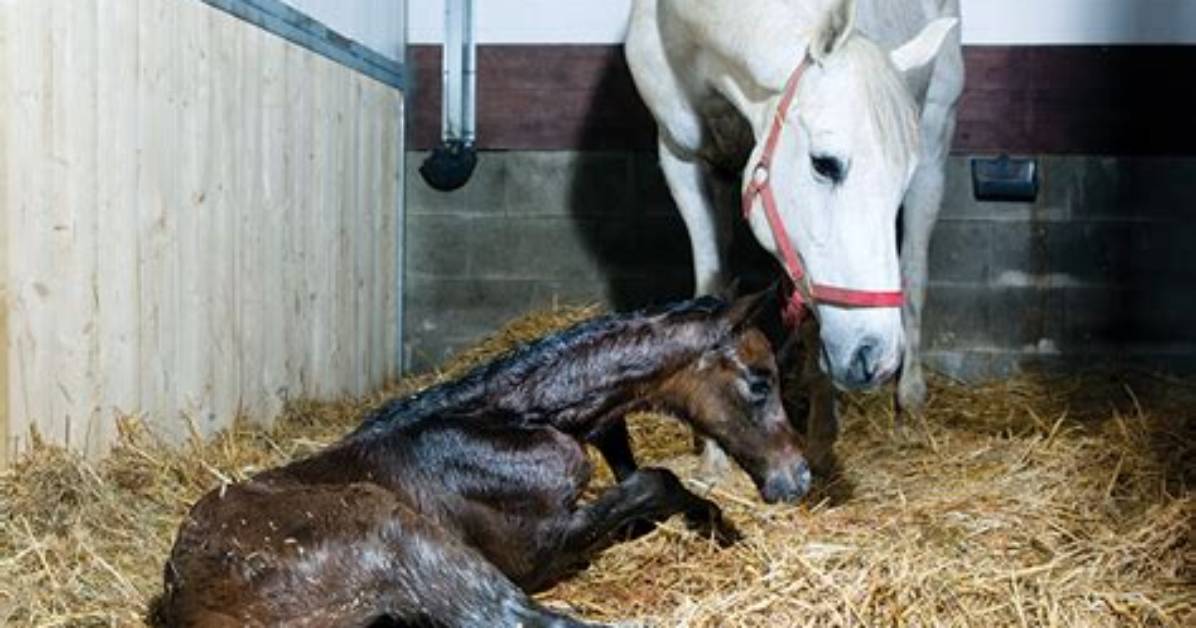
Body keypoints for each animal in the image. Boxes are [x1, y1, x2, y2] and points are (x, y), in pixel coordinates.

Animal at [158, 292, 810, 627]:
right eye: (760, 382)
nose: (797, 478)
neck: (510, 420)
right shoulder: (537, 549)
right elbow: (655, 480)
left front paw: (717, 525)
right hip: (404, 538)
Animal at [625, 0, 963, 475]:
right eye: (824, 163)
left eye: (901, 179)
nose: (875, 357)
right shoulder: (683, 159)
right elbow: (714, 288)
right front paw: (713, 453)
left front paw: (821, 440)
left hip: (936, 137)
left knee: (914, 273)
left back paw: (909, 406)